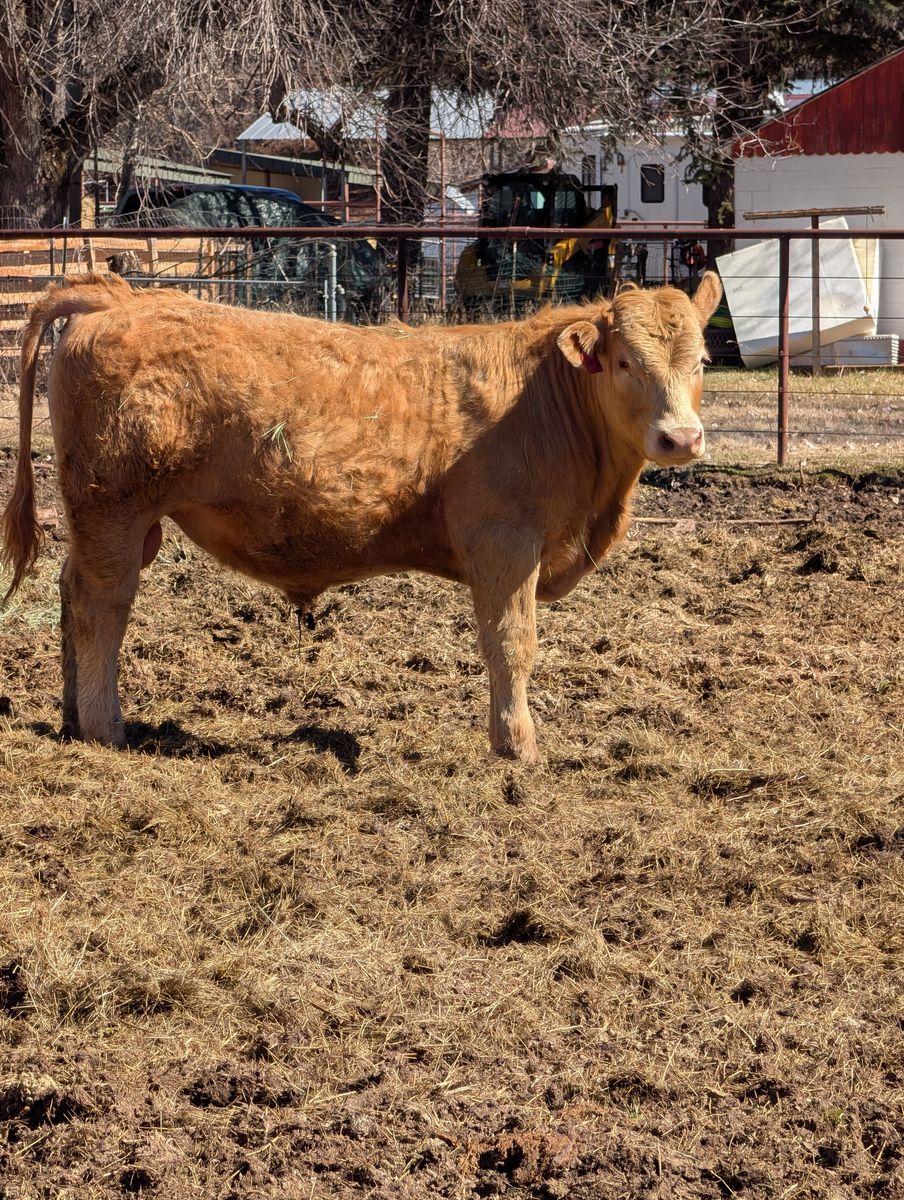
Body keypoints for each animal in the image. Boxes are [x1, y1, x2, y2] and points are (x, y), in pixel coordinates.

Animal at [1, 271, 721, 761]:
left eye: (702, 361)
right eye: (625, 361)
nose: (681, 438)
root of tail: (122, 298)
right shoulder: (505, 542)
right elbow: (511, 645)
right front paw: (518, 747)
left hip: (116, 521)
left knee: (70, 590)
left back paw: (73, 715)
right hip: (114, 508)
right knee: (101, 607)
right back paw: (106, 727)